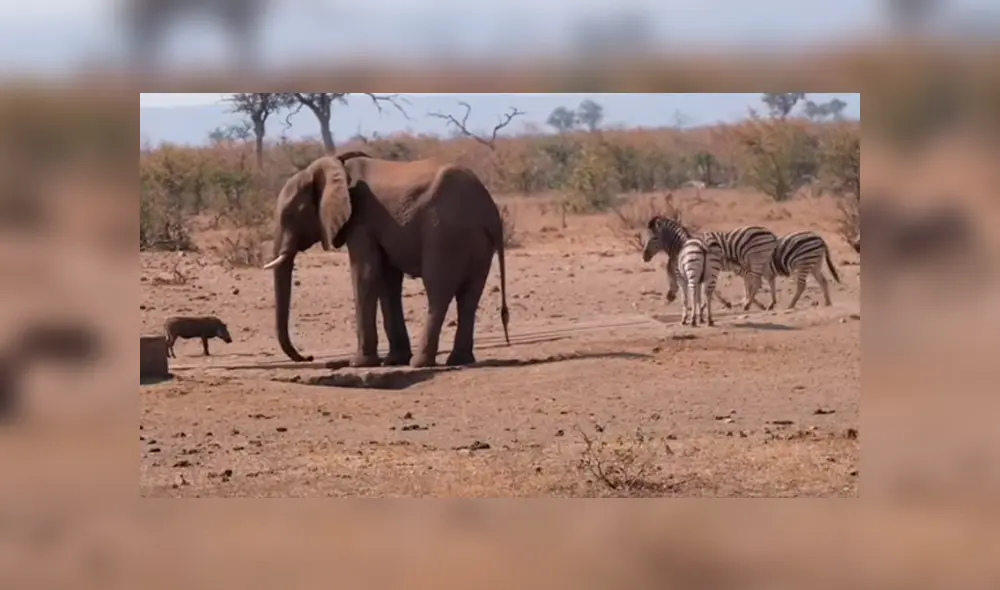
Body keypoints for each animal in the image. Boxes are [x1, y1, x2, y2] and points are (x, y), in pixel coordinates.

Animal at [263, 152, 511, 369]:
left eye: (289, 215)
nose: (309, 357)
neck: (336, 166)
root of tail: (488, 209)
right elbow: (387, 280)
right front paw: (394, 360)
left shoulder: (361, 220)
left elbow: (365, 274)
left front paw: (359, 364)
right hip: (477, 241)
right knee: (469, 297)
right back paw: (459, 360)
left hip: (444, 234)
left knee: (438, 291)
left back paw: (420, 363)